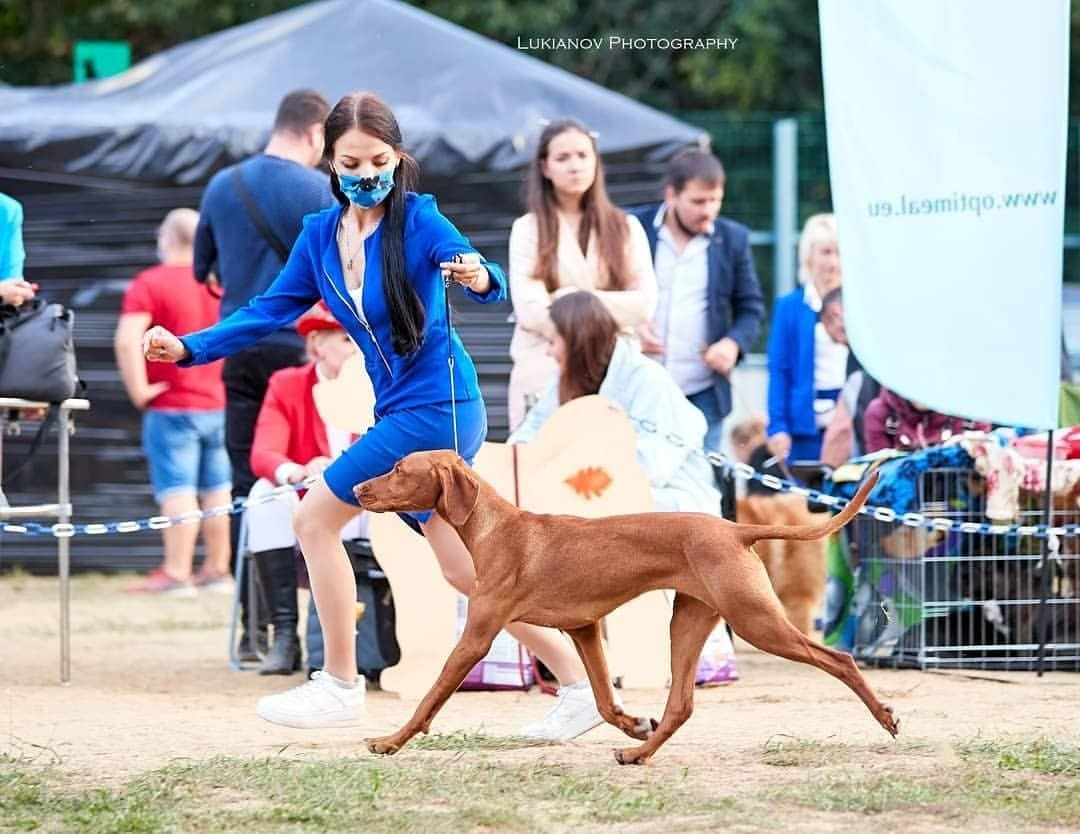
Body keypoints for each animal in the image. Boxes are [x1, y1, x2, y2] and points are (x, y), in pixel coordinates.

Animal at [352, 449, 894, 760]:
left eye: (398, 469)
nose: (356, 487)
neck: (496, 529)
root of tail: (736, 528)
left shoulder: (477, 637)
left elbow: (430, 696)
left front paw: (390, 741)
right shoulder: (584, 629)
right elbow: (603, 700)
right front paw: (634, 726)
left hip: (756, 621)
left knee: (839, 658)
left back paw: (886, 716)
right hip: (689, 621)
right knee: (682, 704)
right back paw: (638, 754)